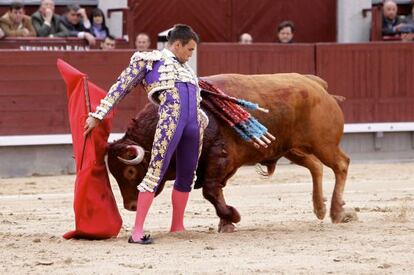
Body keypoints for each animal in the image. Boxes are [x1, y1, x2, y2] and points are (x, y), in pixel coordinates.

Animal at [106, 73, 356, 233]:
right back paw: (320, 208)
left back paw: (337, 212)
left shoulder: (219, 158)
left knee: (341, 165)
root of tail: (317, 85)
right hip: (292, 148)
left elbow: (210, 191)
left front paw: (231, 217)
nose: (131, 206)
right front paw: (225, 222)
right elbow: (215, 191)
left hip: (323, 144)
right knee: (316, 166)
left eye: (129, 172)